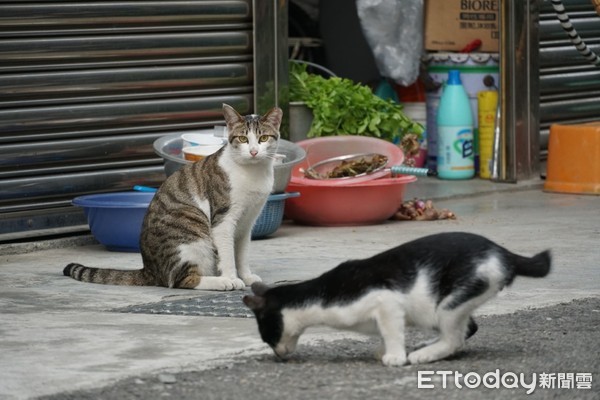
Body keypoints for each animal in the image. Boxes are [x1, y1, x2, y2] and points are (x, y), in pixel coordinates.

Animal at [64, 103, 282, 290]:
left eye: (263, 139)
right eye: (243, 139)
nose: (253, 151)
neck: (253, 173)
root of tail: (150, 269)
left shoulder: (247, 222)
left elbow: (242, 254)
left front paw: (246, 276)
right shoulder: (224, 220)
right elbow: (228, 255)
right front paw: (232, 278)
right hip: (192, 229)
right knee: (182, 280)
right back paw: (220, 282)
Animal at [241, 231, 552, 366]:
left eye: (266, 336)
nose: (278, 355)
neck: (319, 298)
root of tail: (503, 252)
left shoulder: (386, 302)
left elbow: (391, 330)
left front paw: (394, 356)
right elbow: (385, 332)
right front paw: (385, 350)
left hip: (451, 301)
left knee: (455, 338)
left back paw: (424, 354)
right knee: (469, 327)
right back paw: (427, 344)